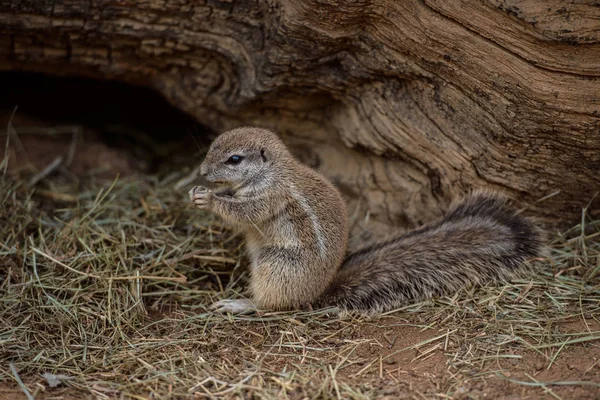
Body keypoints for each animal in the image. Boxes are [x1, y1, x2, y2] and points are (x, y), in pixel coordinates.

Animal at [190, 126, 548, 314]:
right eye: (212, 146)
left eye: (235, 159)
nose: (202, 172)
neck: (271, 171)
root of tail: (322, 288)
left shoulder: (270, 195)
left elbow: (245, 212)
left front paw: (208, 199)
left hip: (276, 265)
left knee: (274, 304)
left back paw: (241, 303)